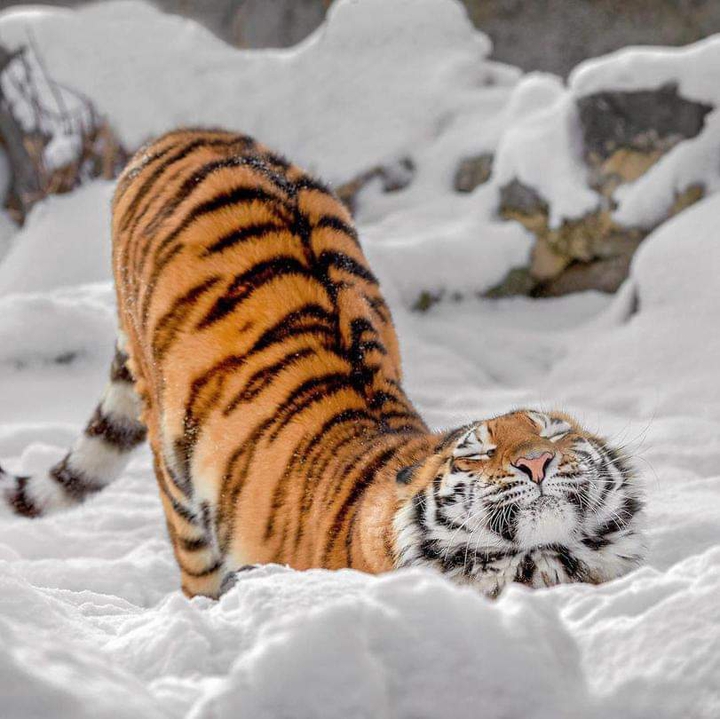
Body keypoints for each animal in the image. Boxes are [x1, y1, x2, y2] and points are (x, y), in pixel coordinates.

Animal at [0, 128, 645, 598]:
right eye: (477, 452)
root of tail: (188, 131)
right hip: (172, 459)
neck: (541, 561)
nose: (537, 462)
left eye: (556, 435)